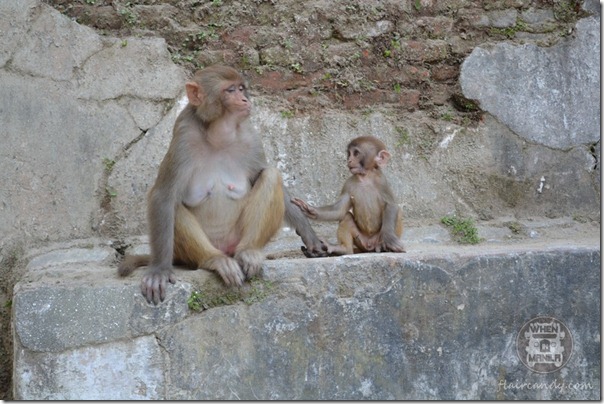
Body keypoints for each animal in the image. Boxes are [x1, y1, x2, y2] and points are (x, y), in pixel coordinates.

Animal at [117, 64, 326, 304]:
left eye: (241, 89)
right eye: (230, 90)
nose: (244, 99)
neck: (218, 135)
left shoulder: (251, 138)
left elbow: (263, 173)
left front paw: (308, 231)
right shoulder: (183, 137)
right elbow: (163, 195)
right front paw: (159, 270)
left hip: (236, 238)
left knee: (271, 176)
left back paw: (248, 252)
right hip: (190, 252)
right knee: (175, 207)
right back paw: (214, 259)